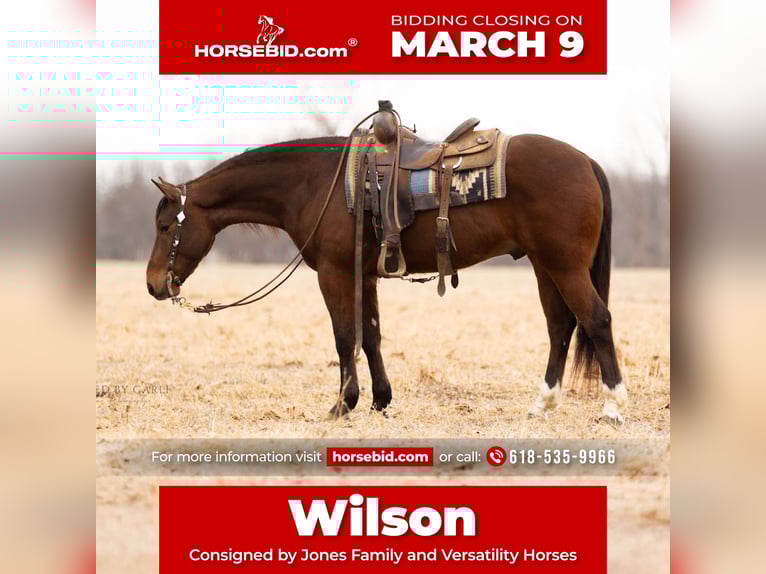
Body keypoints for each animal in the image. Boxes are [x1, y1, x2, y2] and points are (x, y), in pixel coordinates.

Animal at [145, 132, 628, 424]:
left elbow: (345, 337)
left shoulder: (335, 274)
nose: (153, 285)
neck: (315, 183)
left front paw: (343, 404)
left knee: (596, 320)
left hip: (564, 266)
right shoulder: (365, 276)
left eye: (166, 226)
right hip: (546, 266)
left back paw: (614, 405)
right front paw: (380, 399)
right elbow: (372, 336)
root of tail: (585, 160)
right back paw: (542, 404)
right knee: (561, 326)